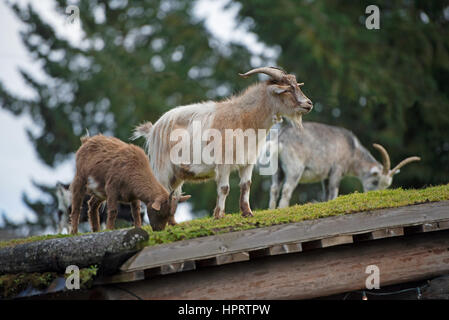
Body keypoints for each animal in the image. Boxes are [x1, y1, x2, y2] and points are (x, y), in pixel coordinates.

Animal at [262, 119, 420, 208]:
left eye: (386, 186)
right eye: (375, 181)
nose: (374, 195)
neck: (352, 150)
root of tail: (282, 139)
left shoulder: (325, 176)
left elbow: (326, 195)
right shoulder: (336, 170)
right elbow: (334, 191)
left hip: (277, 169)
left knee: (274, 189)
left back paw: (271, 210)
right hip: (295, 168)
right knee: (287, 189)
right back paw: (283, 209)